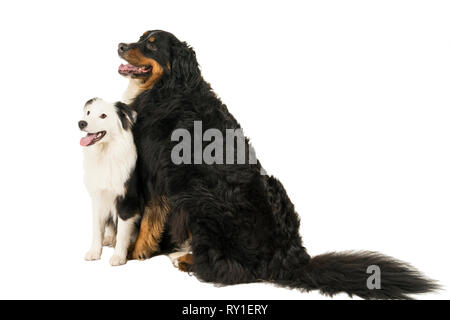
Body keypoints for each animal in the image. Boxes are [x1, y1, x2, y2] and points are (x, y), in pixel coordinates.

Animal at [80, 97, 138, 264]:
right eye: (88, 112)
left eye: (103, 115)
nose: (81, 123)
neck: (106, 154)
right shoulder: (98, 197)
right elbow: (96, 228)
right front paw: (94, 251)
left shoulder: (126, 199)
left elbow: (123, 232)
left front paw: (119, 256)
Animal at [114, 28, 438, 298]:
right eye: (140, 38)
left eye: (151, 44)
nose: (120, 45)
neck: (168, 87)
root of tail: (291, 257)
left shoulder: (156, 172)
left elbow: (149, 218)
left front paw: (134, 251)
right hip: (274, 186)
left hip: (203, 199)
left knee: (233, 270)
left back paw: (187, 259)